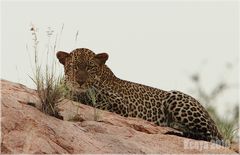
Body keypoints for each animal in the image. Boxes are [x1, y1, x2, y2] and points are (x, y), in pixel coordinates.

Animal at [56, 47, 223, 143]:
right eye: (73, 67)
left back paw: (175, 130)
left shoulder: (120, 105)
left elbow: (88, 98)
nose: (80, 82)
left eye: (90, 67)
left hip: (175, 96)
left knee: (209, 137)